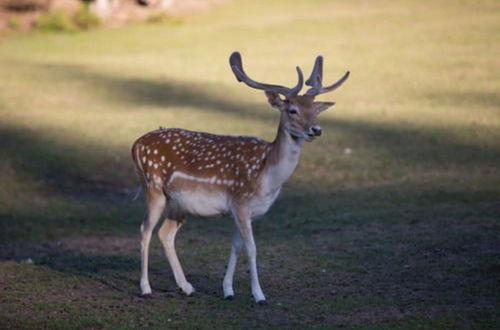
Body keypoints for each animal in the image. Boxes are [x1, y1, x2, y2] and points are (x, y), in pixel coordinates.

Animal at [133, 51, 352, 304]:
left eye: (314, 110)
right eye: (292, 110)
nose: (316, 130)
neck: (266, 178)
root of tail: (135, 144)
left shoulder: (245, 210)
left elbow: (236, 246)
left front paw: (228, 290)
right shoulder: (240, 200)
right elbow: (252, 248)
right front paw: (259, 295)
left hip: (179, 204)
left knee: (165, 233)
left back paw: (186, 287)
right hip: (153, 188)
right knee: (145, 230)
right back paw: (145, 287)